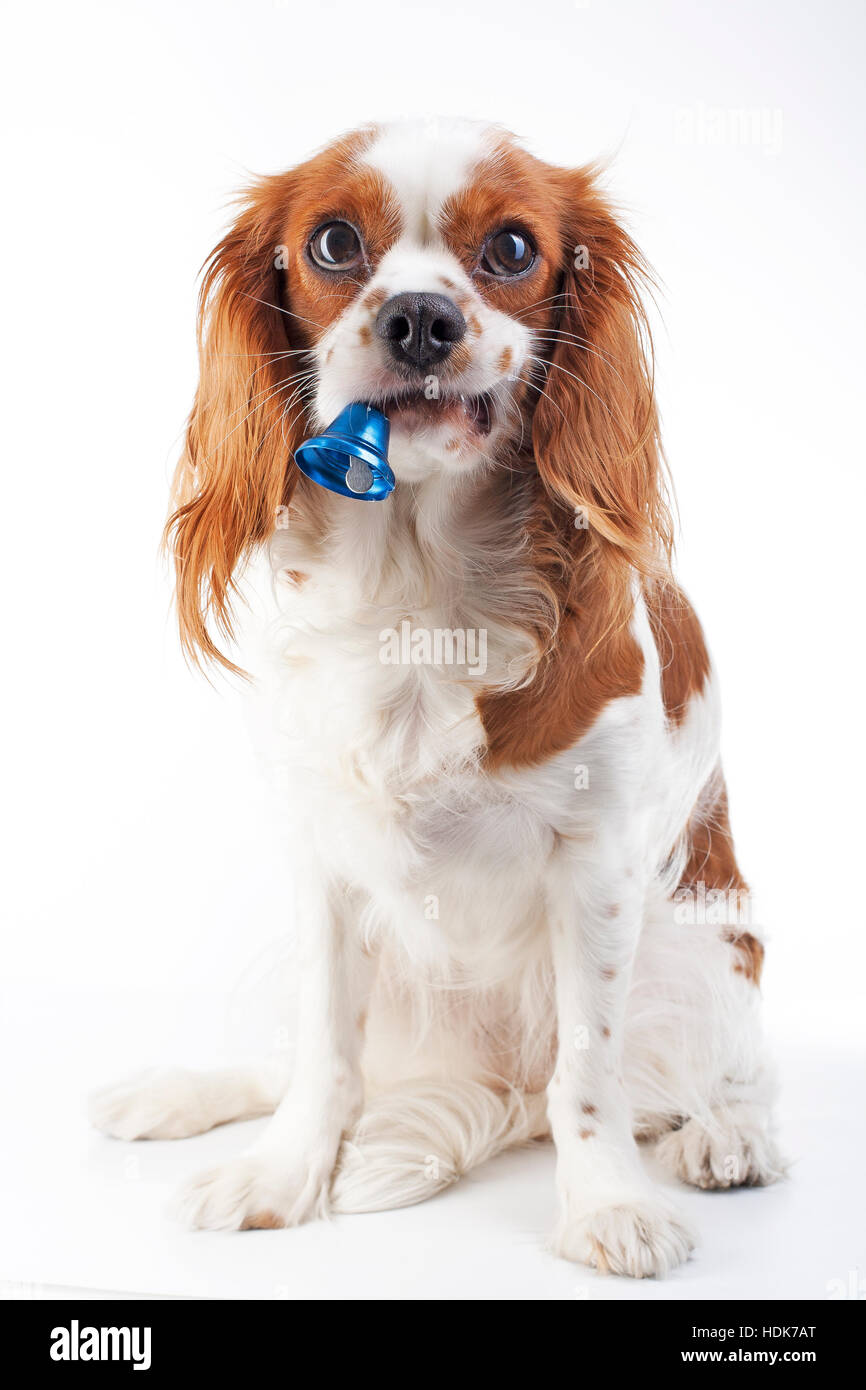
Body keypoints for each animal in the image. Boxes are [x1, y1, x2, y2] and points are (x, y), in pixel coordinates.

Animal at [91, 119, 783, 1278]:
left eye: (511, 248)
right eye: (332, 243)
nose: (420, 316)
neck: (416, 586)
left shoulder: (596, 868)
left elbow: (587, 1075)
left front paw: (605, 1205)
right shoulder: (319, 858)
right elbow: (326, 1053)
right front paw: (280, 1175)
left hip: (704, 957)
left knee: (705, 1077)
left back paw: (728, 1137)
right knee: (295, 1059)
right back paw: (175, 1095)